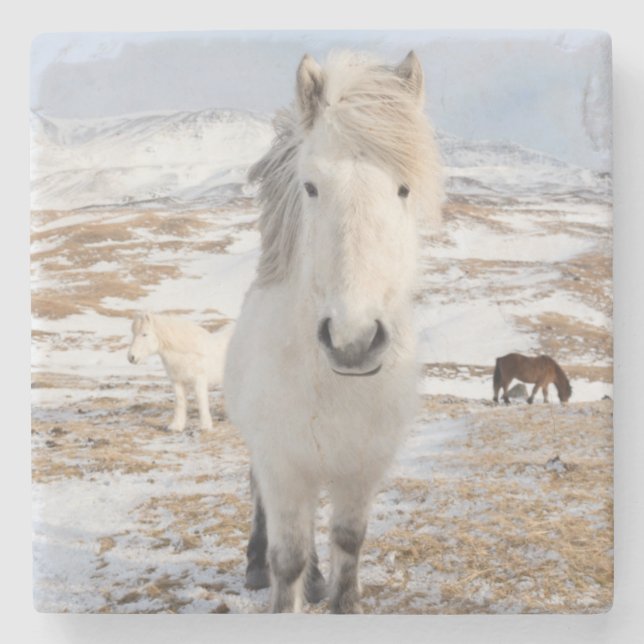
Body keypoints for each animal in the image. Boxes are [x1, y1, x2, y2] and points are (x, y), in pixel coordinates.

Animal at [223, 50, 443, 613]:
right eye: (311, 186)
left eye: (403, 188)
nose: (353, 339)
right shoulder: (283, 466)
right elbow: (288, 559)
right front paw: (284, 590)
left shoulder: (361, 469)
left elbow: (348, 540)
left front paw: (343, 598)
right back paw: (256, 567)